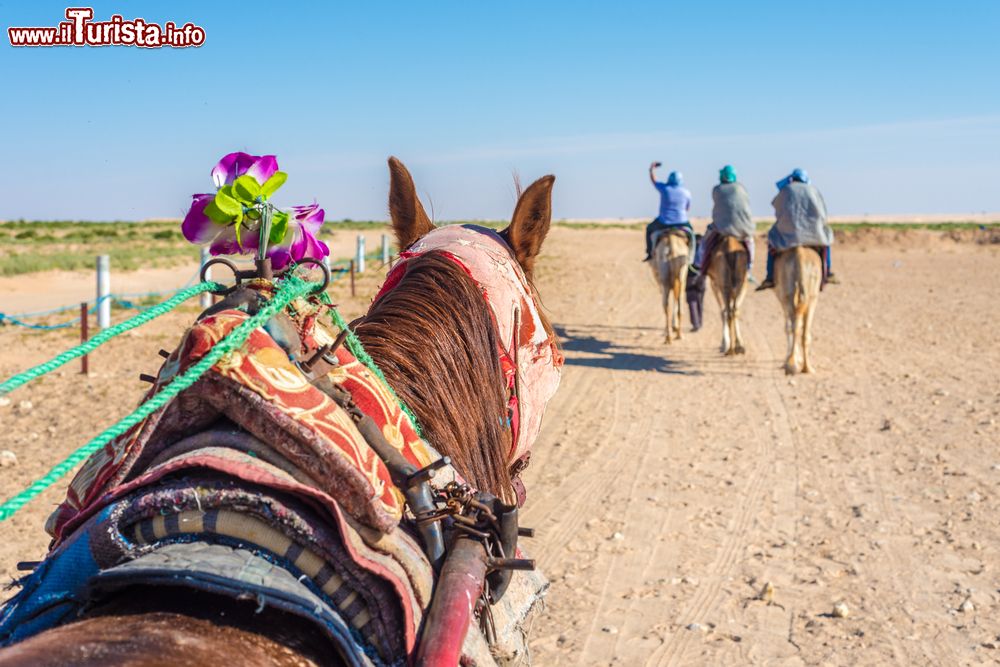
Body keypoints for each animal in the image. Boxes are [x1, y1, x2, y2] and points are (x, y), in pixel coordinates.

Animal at [772, 248, 820, 376]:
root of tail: (800, 255)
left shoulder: (782, 297)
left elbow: (788, 327)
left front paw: (790, 360)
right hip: (810, 296)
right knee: (802, 330)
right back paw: (806, 368)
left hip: (789, 295)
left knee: (795, 326)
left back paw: (793, 365)